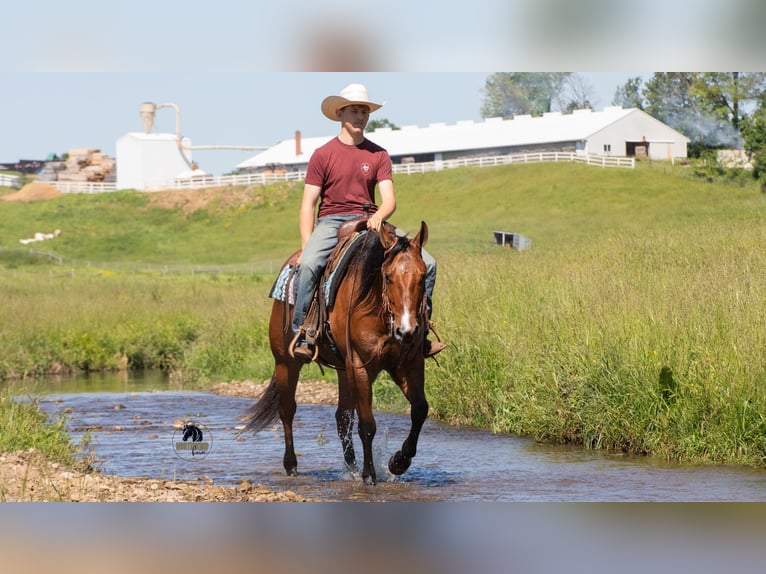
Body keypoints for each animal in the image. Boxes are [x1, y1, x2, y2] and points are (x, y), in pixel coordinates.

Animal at [242, 218, 431, 485]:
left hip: (343, 370)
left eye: (423, 276)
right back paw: (291, 465)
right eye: (388, 276)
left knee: (342, 417)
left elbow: (419, 410)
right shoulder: (359, 365)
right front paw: (369, 475)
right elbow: (367, 424)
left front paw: (398, 462)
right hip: (286, 362)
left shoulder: (409, 363)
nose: (407, 330)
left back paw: (351, 467)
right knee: (287, 410)